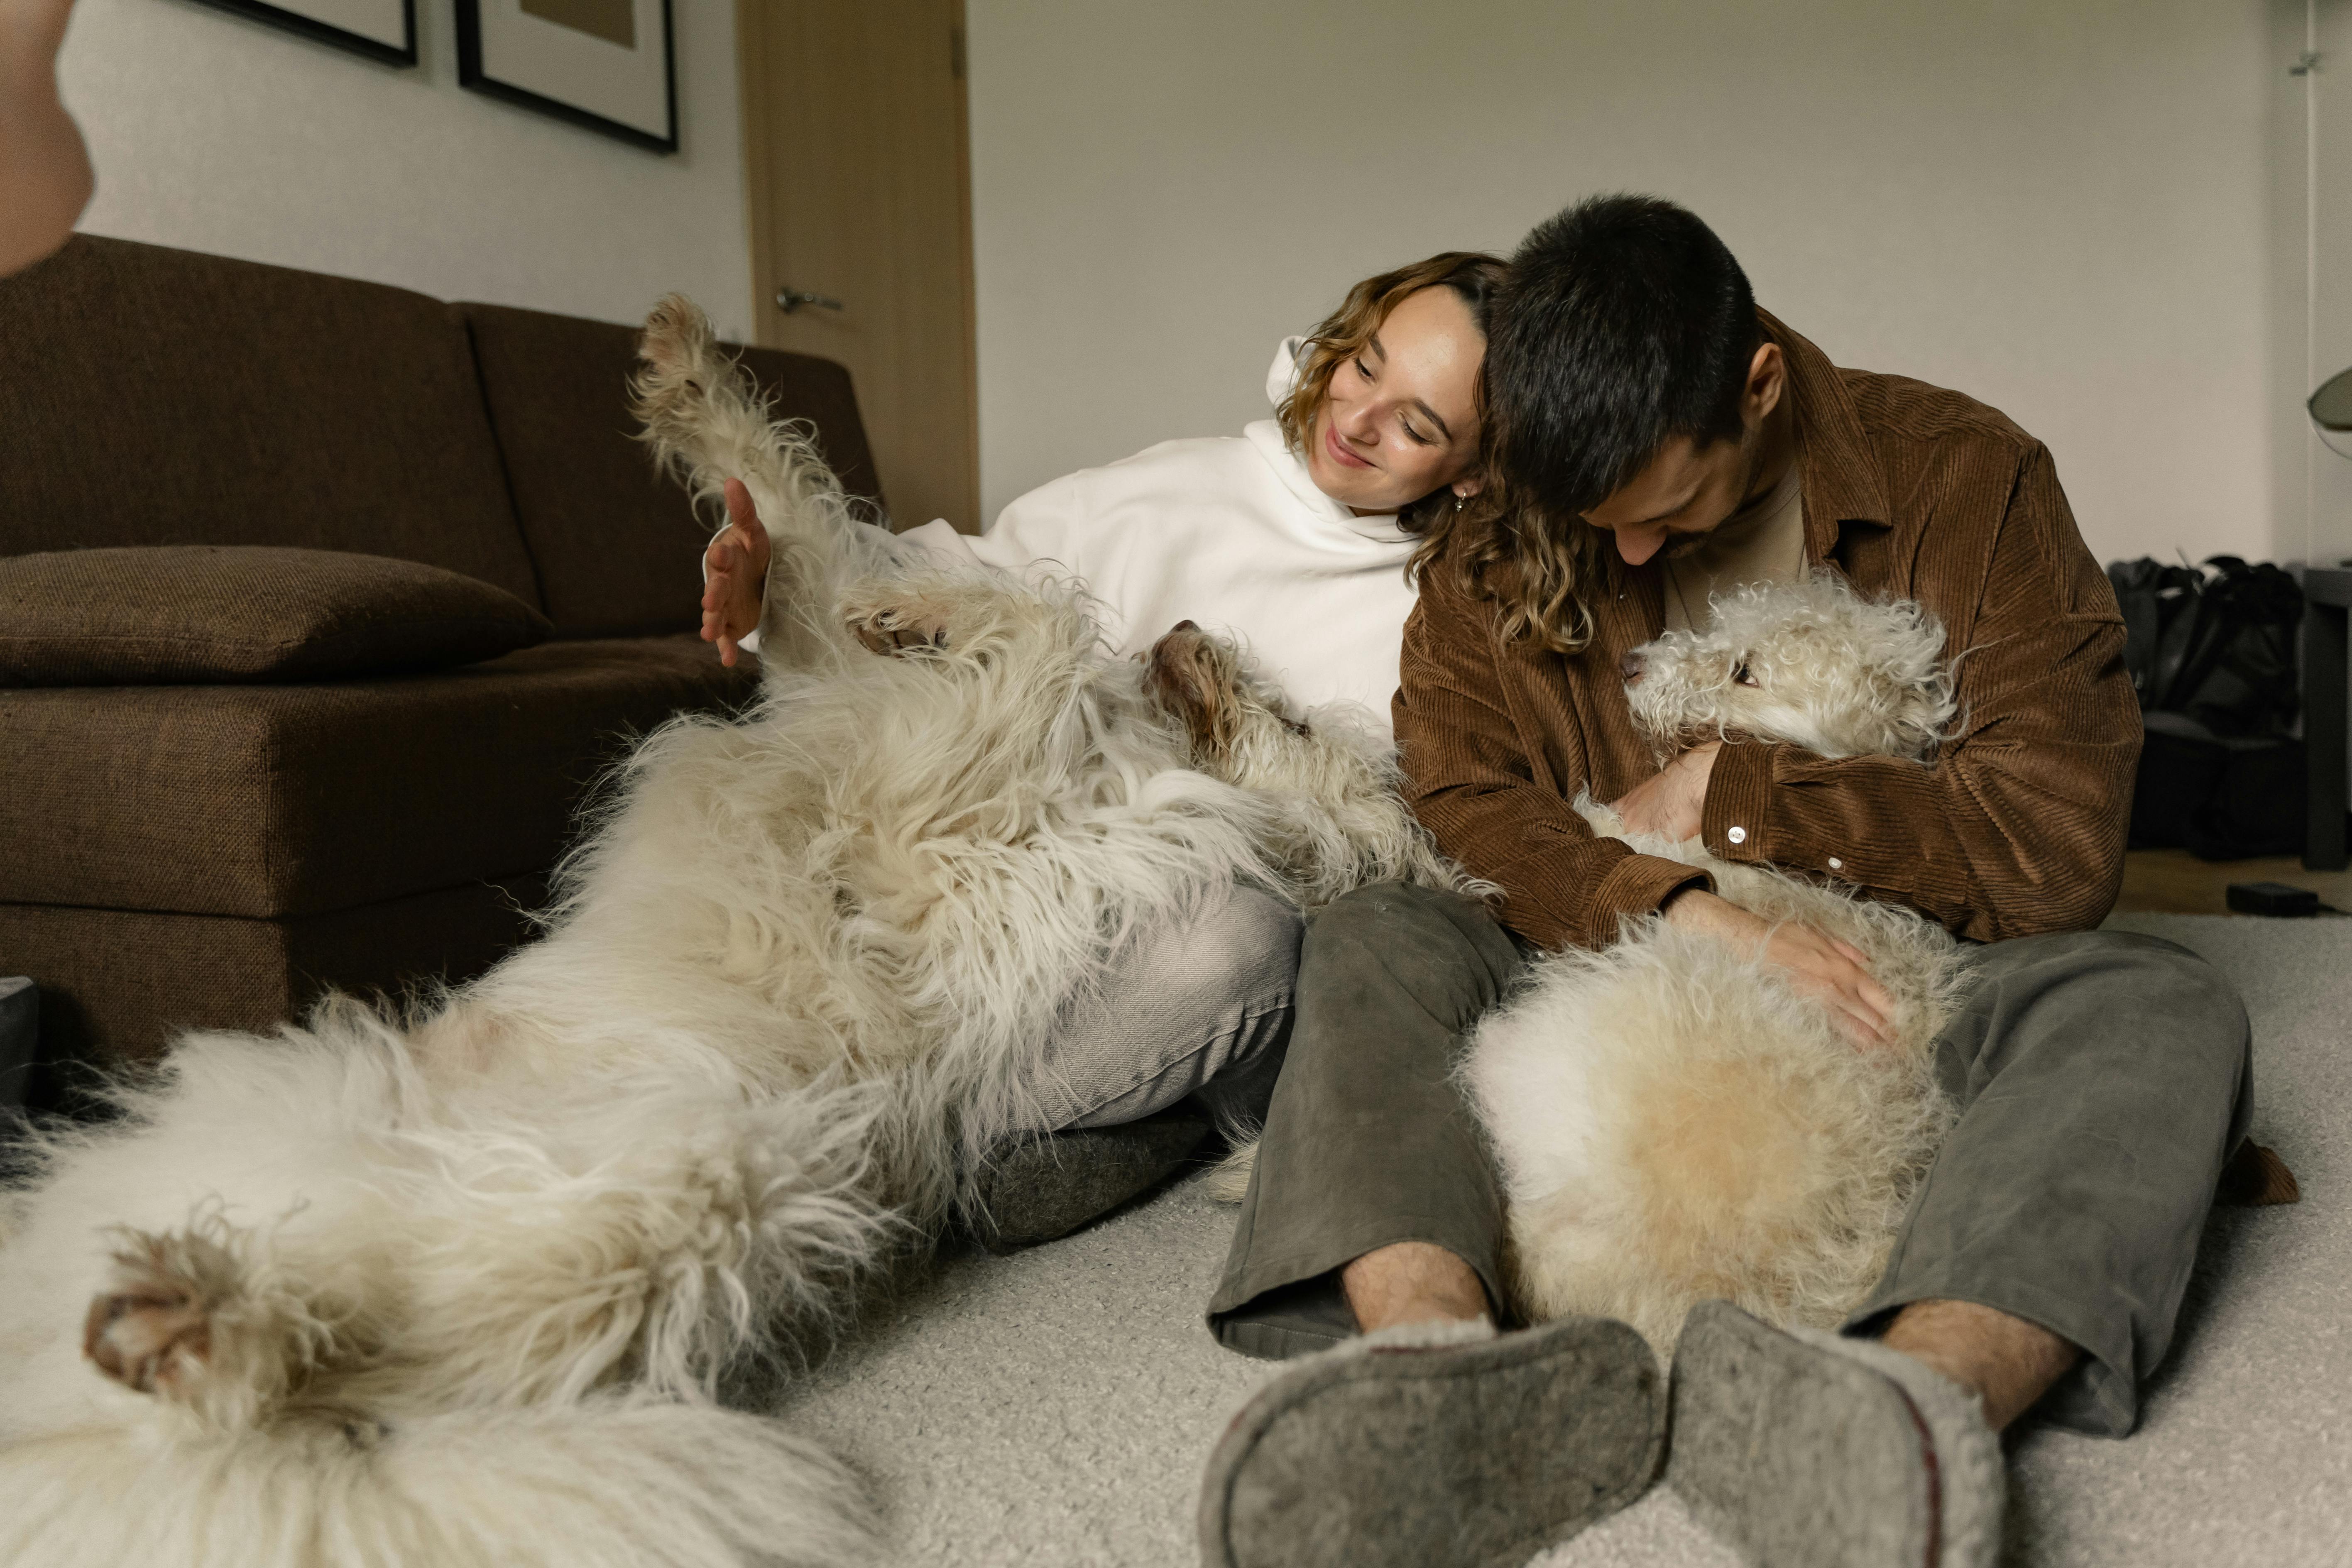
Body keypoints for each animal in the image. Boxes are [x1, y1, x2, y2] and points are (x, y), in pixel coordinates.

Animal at [0, 297, 1449, 1568]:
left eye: (1295, 717)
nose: (1192, 631)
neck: (1133, 762)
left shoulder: (962, 826)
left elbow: (1028, 628)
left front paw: (933, 612)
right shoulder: (866, 708)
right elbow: (810, 522)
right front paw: (697, 393)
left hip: (690, 1195)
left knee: (405, 1333)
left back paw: (205, 1331)